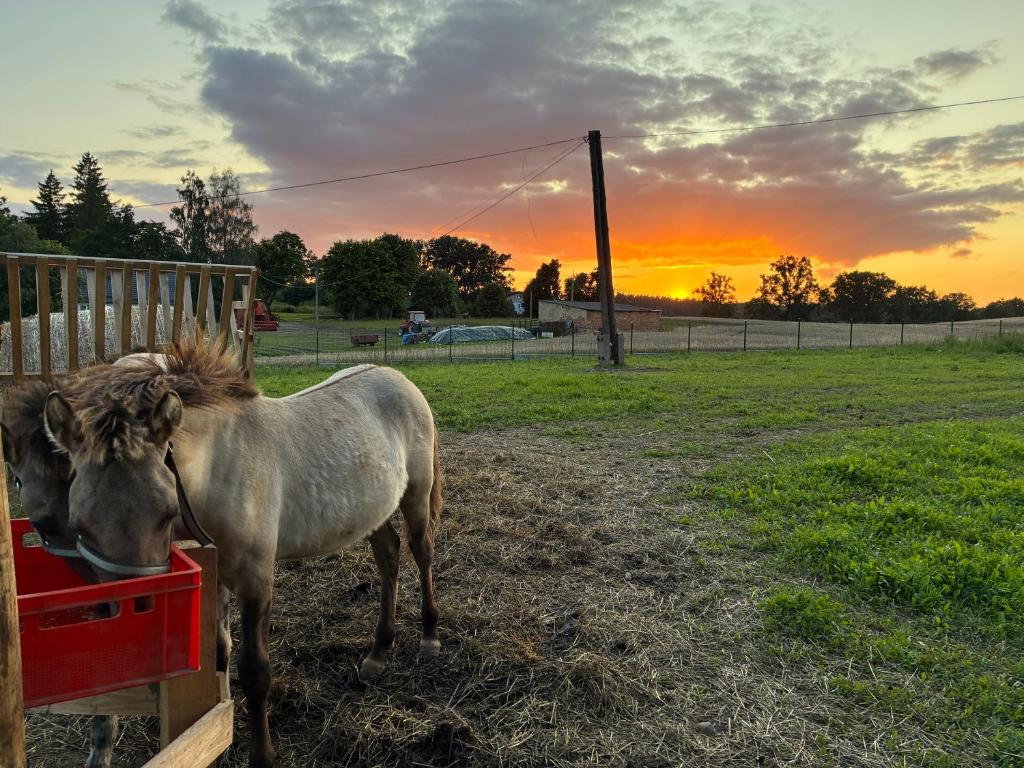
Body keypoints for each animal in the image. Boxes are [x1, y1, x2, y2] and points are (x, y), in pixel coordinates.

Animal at [42, 339, 444, 767]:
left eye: (166, 512)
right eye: (79, 524)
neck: (221, 468)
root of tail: (397, 377)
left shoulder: (255, 581)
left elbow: (255, 672)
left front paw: (262, 755)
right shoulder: (216, 578)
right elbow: (219, 654)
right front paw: (218, 734)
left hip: (416, 497)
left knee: (421, 553)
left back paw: (429, 637)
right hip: (372, 510)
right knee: (389, 555)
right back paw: (378, 652)